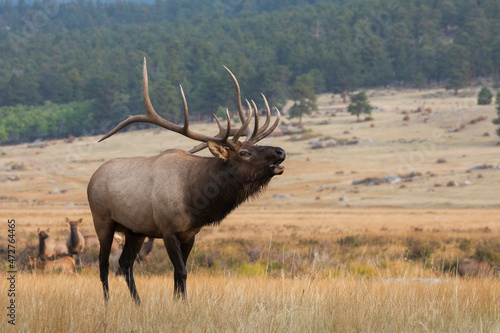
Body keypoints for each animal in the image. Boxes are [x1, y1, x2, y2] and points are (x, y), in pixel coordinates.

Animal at [88, 57, 286, 304]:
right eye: (244, 153)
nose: (280, 151)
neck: (195, 199)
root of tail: (92, 179)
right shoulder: (167, 230)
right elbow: (181, 271)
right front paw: (182, 303)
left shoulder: (190, 234)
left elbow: (178, 273)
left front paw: (179, 302)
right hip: (102, 220)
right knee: (103, 263)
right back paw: (107, 302)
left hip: (135, 230)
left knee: (125, 263)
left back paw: (138, 303)